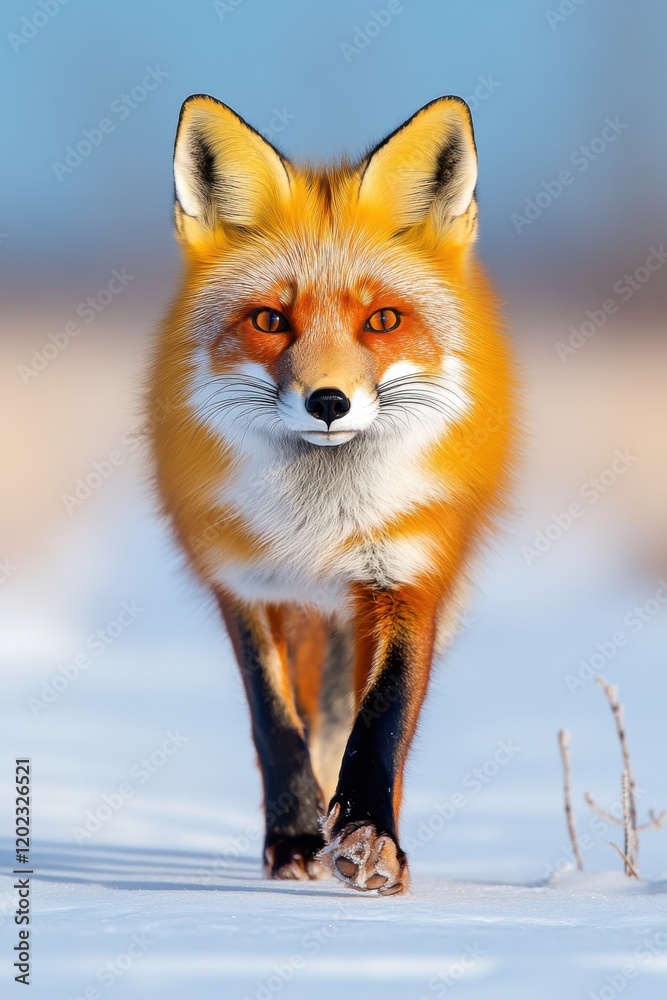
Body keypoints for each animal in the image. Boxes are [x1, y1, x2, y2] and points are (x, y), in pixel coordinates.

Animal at [149, 93, 516, 895]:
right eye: (268, 319)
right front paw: (293, 836)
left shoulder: (406, 574)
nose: (327, 402)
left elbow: (381, 721)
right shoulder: (245, 583)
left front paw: (370, 838)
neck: (319, 526)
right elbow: (276, 724)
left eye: (381, 320)